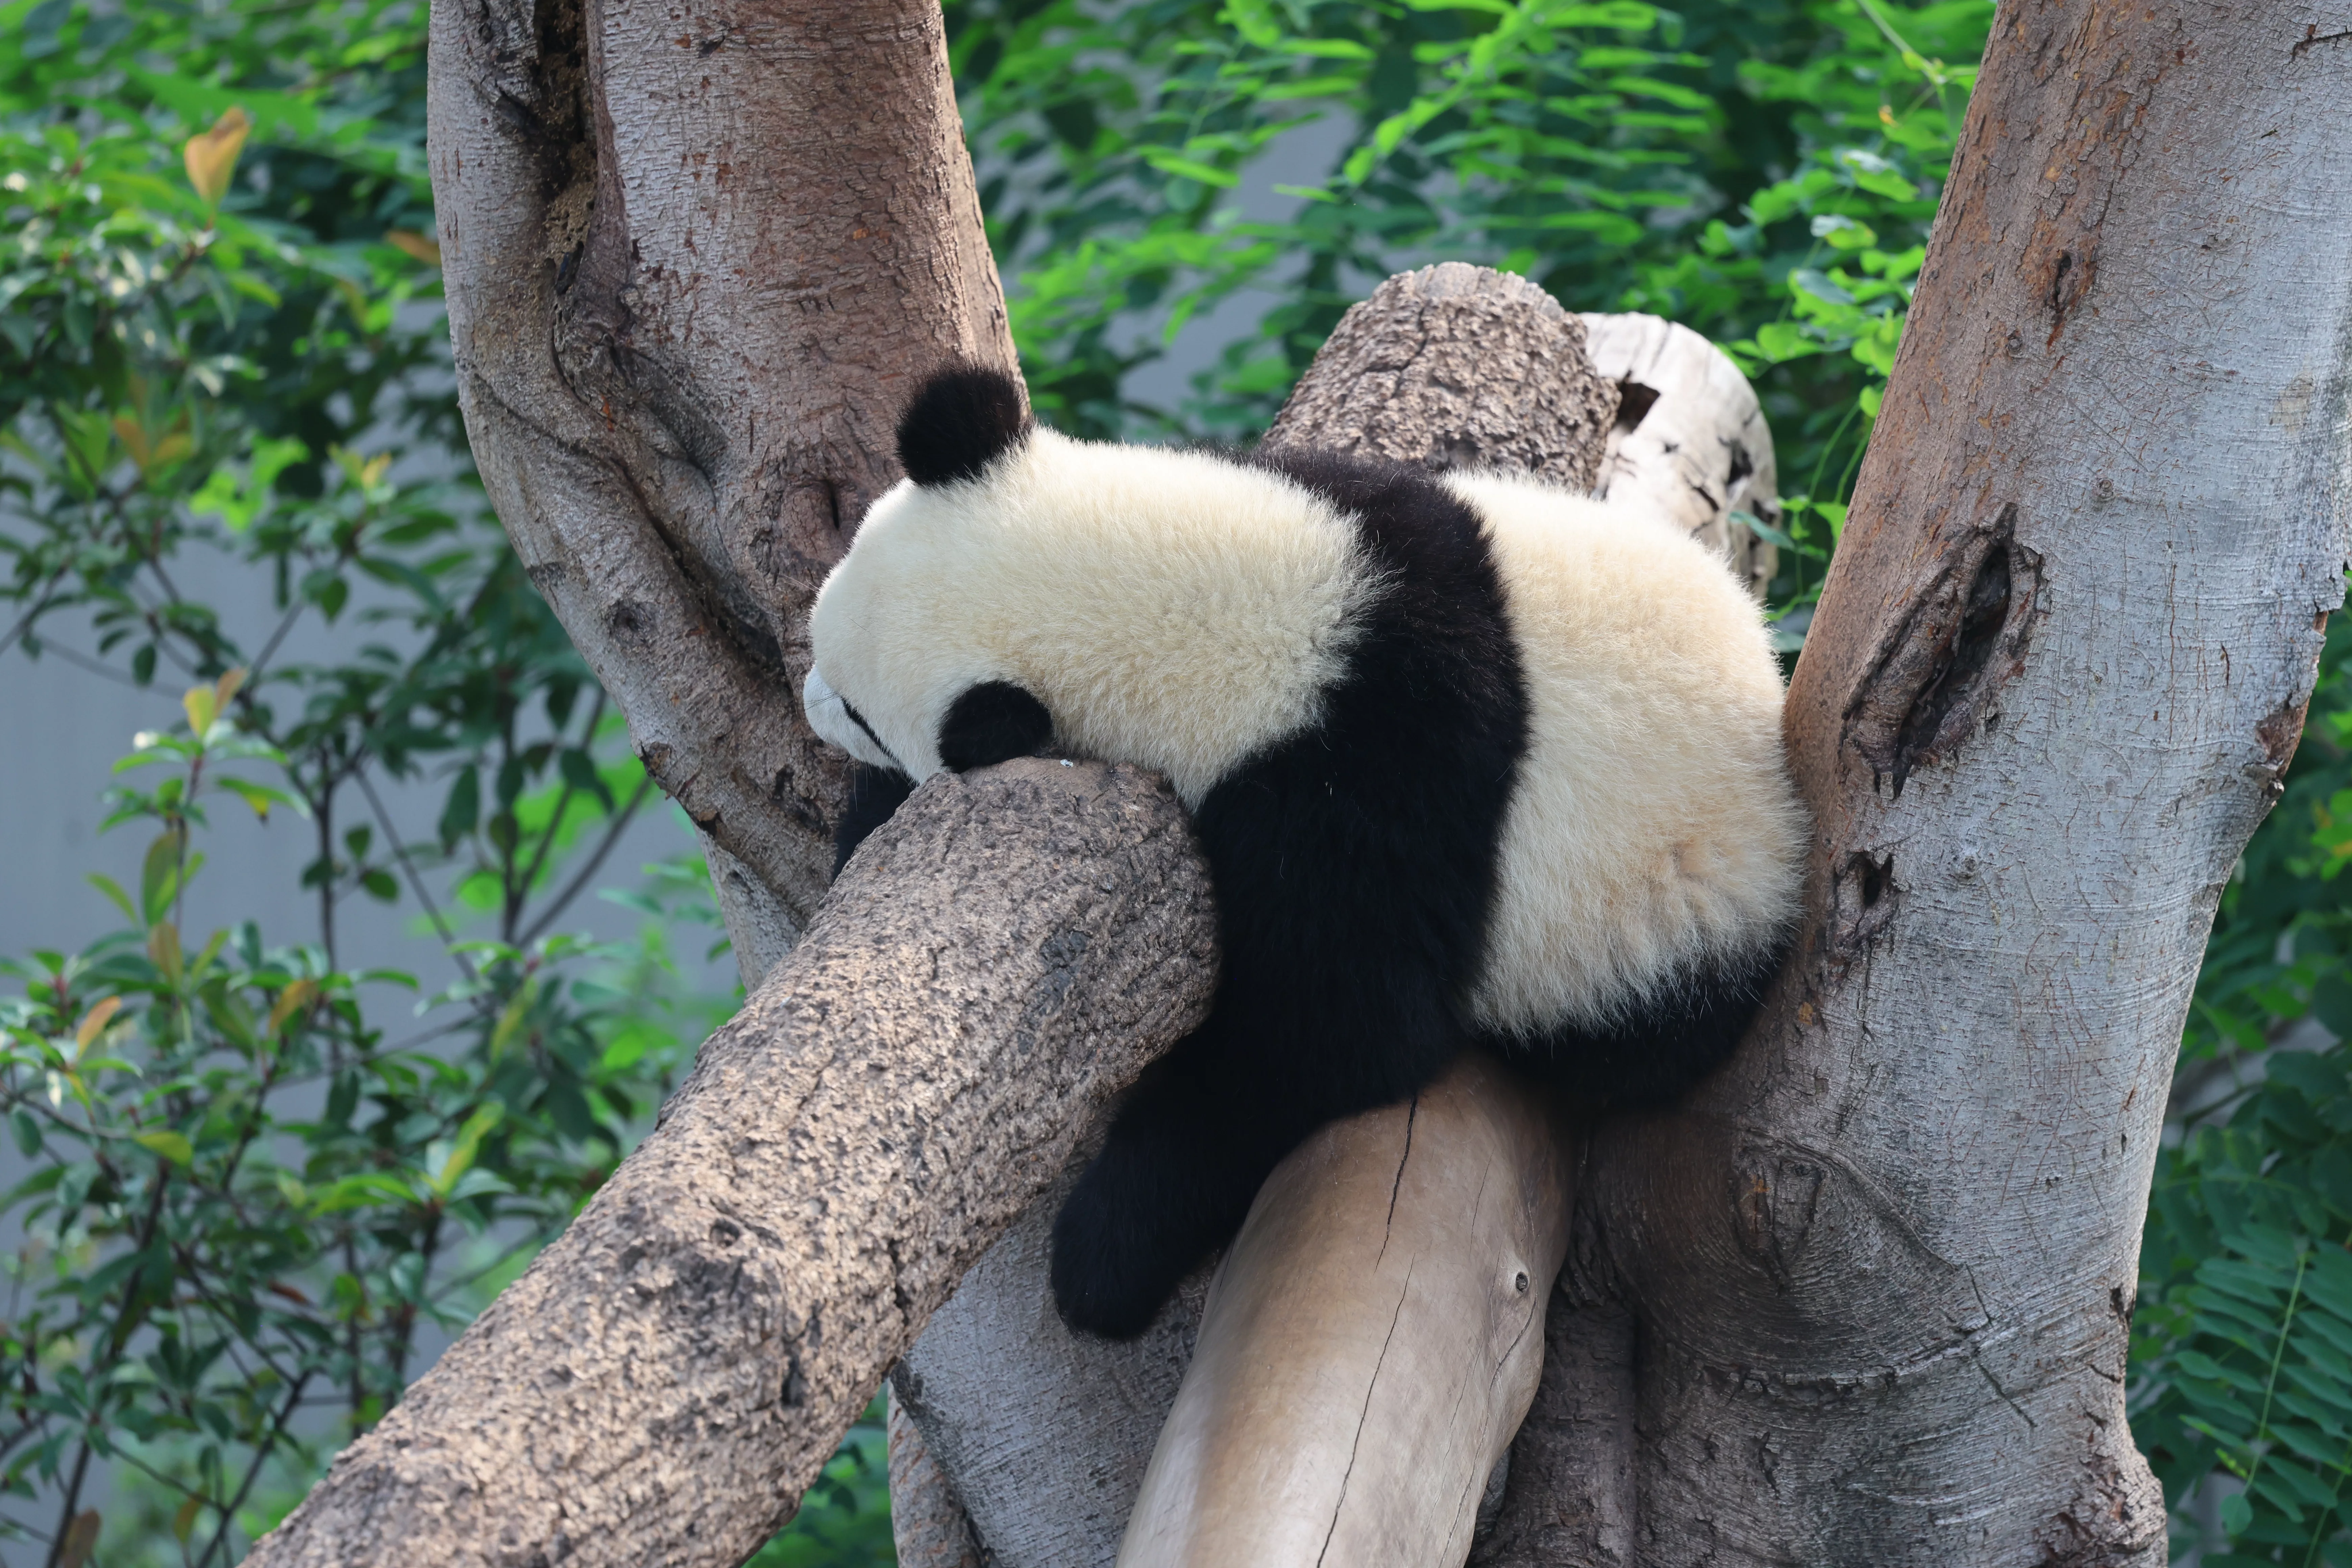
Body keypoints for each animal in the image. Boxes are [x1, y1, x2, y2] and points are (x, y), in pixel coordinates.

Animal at [803, 366, 1805, 1339]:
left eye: (860, 711)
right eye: (826, 611)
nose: (812, 701)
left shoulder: (1361, 786)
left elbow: (1335, 1035)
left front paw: (1103, 1258)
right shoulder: (1374, 510)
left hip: (1661, 924)